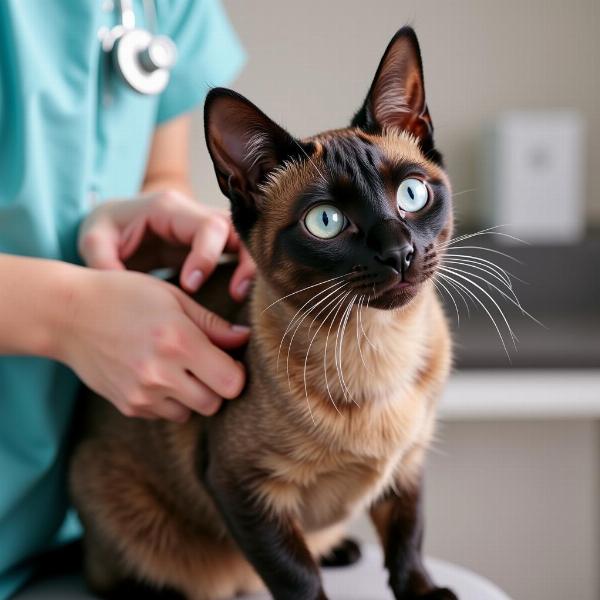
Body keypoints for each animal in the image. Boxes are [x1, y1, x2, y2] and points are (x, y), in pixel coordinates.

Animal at [69, 27, 454, 600]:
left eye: (412, 194)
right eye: (326, 221)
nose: (399, 252)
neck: (380, 347)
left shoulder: (407, 468)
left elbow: (409, 541)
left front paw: (426, 593)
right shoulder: (245, 488)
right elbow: (295, 575)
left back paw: (342, 547)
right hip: (111, 494)